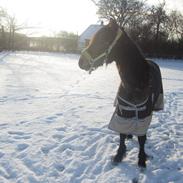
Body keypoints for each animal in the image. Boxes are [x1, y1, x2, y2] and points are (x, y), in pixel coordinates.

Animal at [78, 18, 164, 169]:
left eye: (103, 41)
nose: (81, 62)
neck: (135, 85)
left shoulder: (144, 115)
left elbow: (142, 138)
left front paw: (142, 159)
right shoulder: (123, 112)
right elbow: (122, 134)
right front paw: (119, 154)